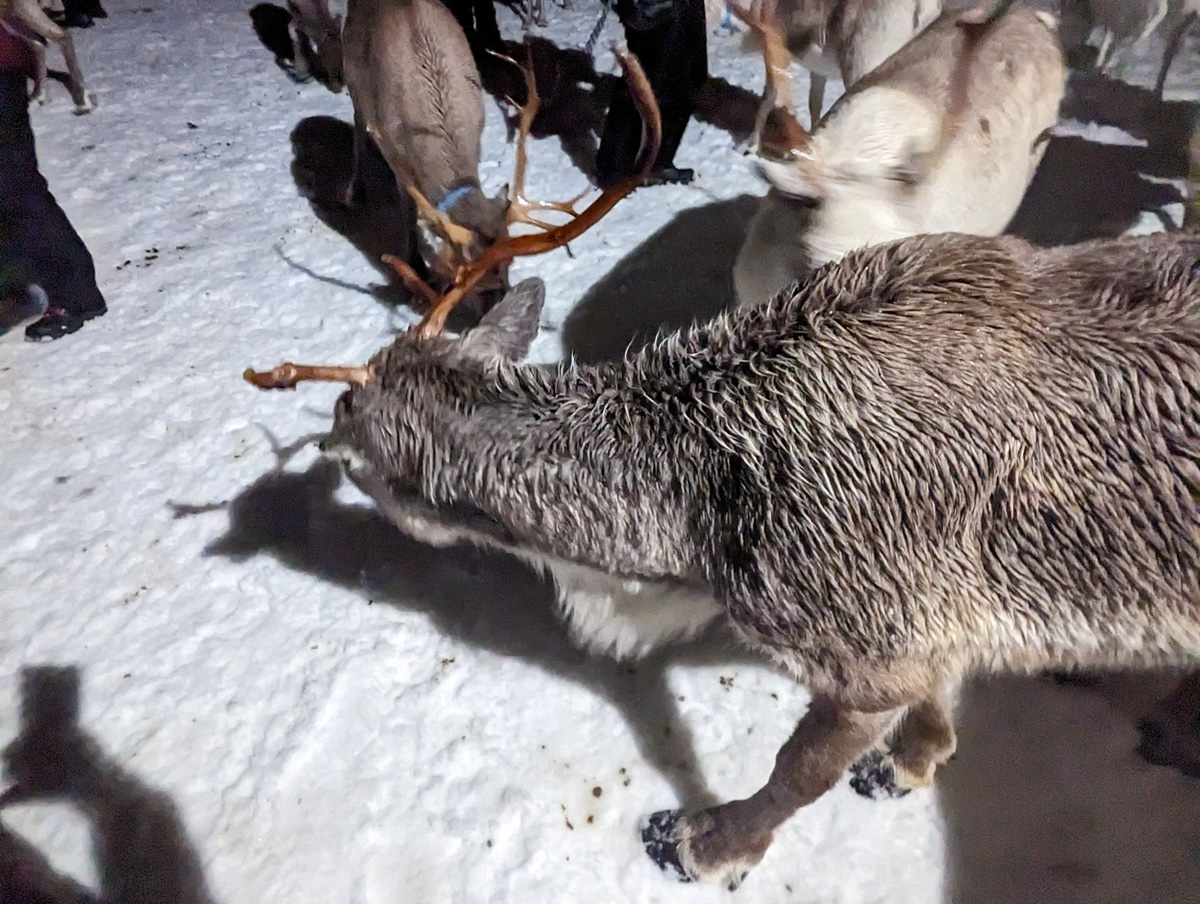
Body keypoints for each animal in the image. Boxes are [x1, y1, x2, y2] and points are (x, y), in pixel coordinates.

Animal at [245, 200, 1200, 887]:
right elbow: (936, 694)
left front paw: (704, 845)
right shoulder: (929, 623)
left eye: (355, 429)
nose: (329, 430)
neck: (690, 531)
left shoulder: (858, 637)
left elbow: (794, 772)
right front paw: (912, 763)